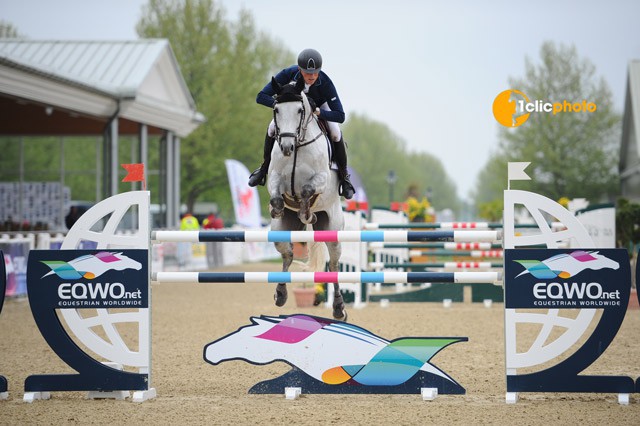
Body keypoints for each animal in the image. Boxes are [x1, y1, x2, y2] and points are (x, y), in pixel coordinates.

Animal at [264, 78, 344, 322]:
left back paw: (339, 308)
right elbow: (276, 196)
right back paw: (280, 294)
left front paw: (306, 213)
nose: (286, 147)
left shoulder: (321, 179)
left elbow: (308, 190)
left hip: (333, 229)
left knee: (334, 263)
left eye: (300, 110)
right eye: (276, 110)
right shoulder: (274, 178)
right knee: (287, 254)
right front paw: (278, 208)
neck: (298, 145)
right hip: (280, 234)